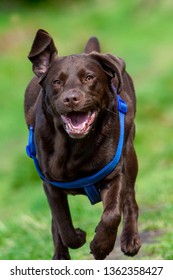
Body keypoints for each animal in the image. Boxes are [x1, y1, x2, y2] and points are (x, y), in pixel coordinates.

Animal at [24, 29, 141, 260]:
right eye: (56, 82)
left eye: (89, 77)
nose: (71, 99)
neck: (75, 146)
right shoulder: (51, 186)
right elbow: (63, 225)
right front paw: (78, 237)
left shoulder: (115, 174)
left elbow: (112, 214)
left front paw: (101, 245)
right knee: (56, 224)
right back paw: (60, 256)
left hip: (130, 154)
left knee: (130, 199)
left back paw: (130, 238)